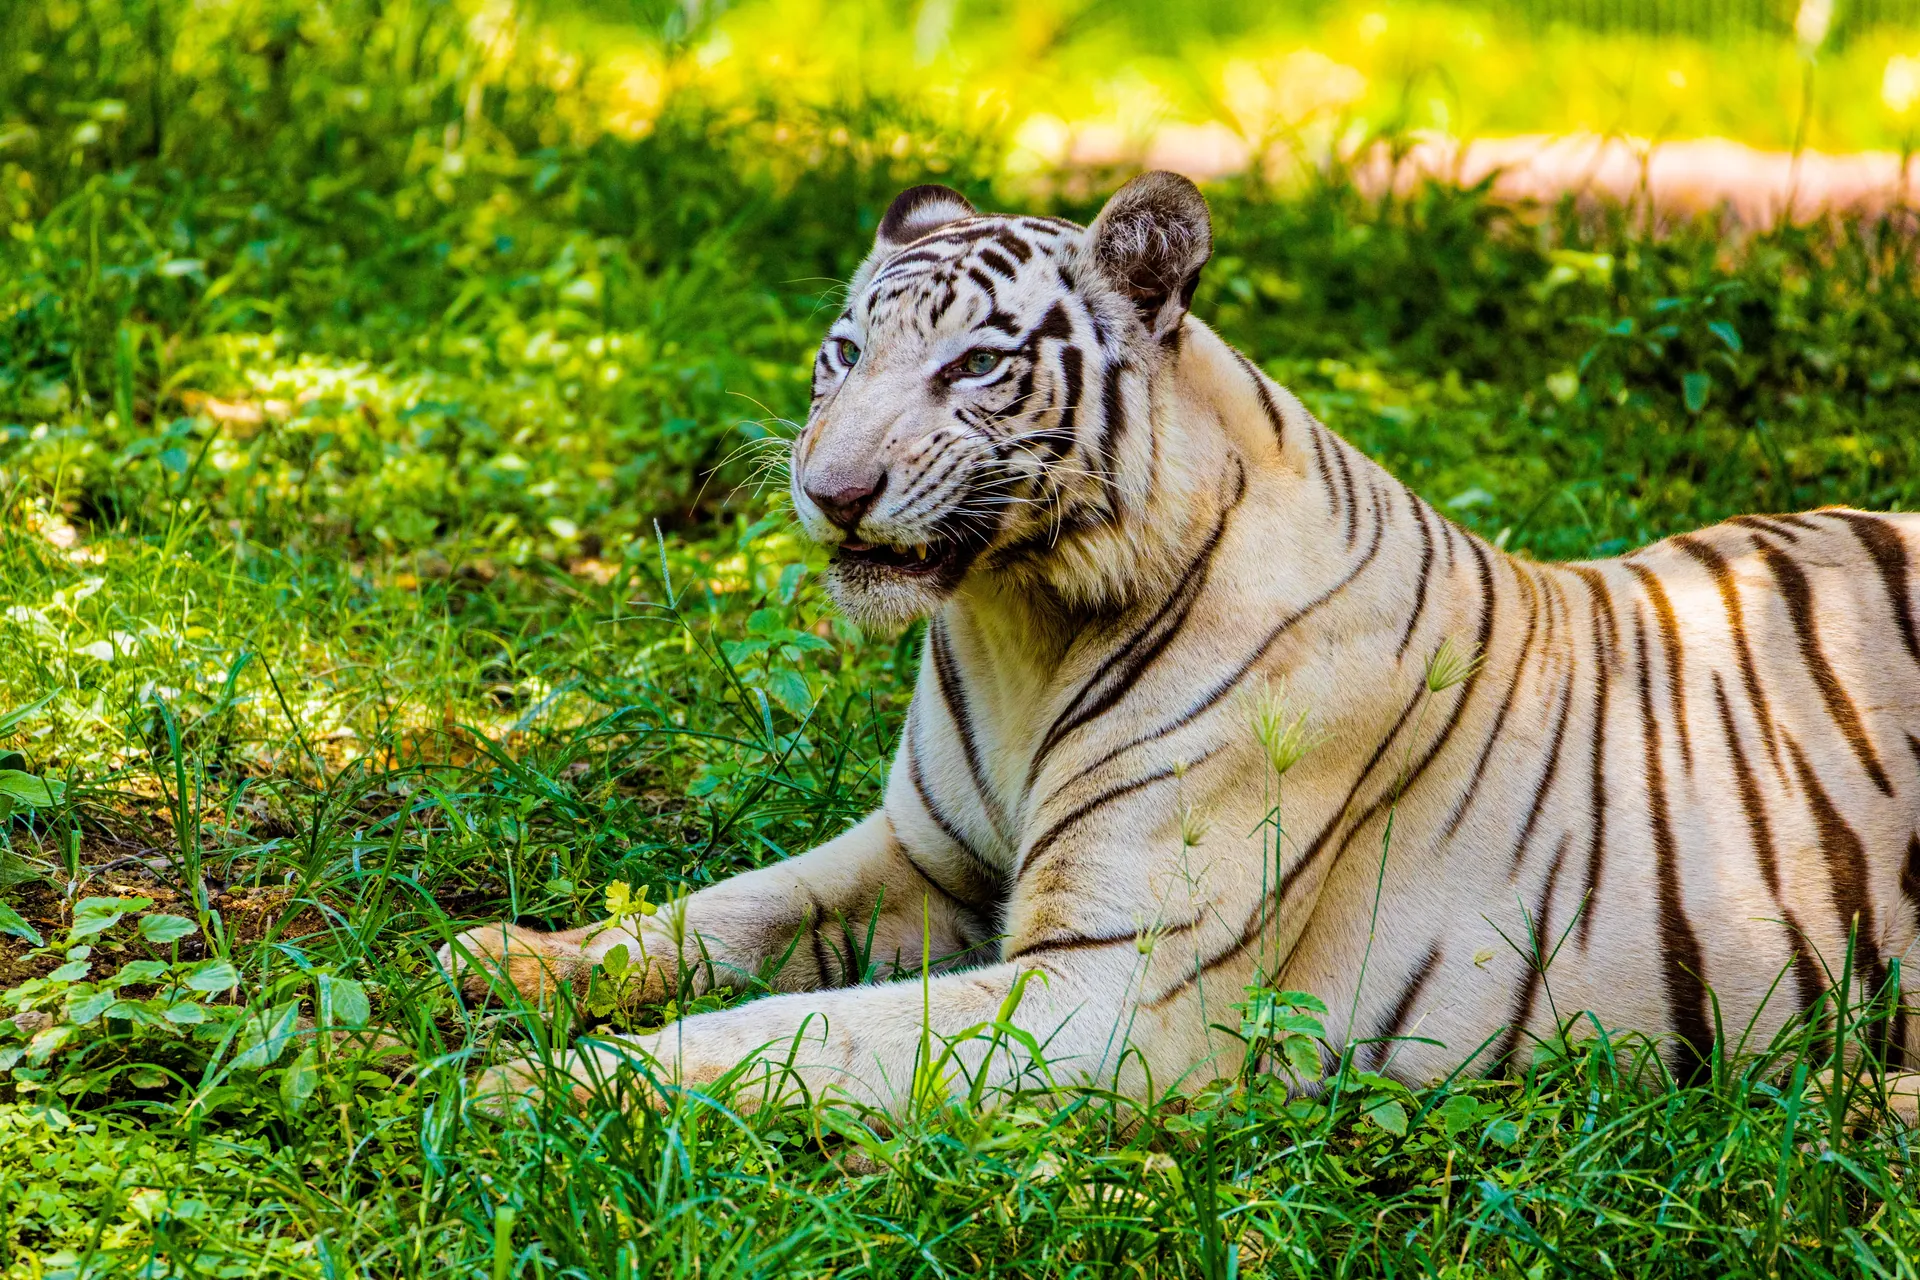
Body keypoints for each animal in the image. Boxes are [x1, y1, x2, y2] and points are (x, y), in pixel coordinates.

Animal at [443, 172, 1920, 1120]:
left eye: (976, 365)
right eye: (845, 351)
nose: (832, 488)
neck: (1017, 621)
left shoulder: (1109, 989)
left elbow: (783, 1029)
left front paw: (544, 1084)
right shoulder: (927, 857)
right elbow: (727, 911)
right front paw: (514, 963)